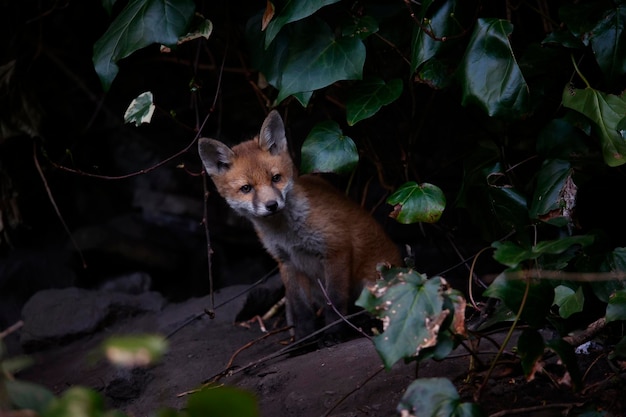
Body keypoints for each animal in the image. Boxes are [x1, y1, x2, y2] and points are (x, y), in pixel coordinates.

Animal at [197, 111, 402, 342]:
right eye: (246, 188)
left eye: (276, 178)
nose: (271, 205)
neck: (288, 235)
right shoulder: (287, 261)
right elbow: (301, 308)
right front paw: (304, 338)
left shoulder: (336, 248)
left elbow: (336, 300)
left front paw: (334, 333)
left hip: (374, 284)